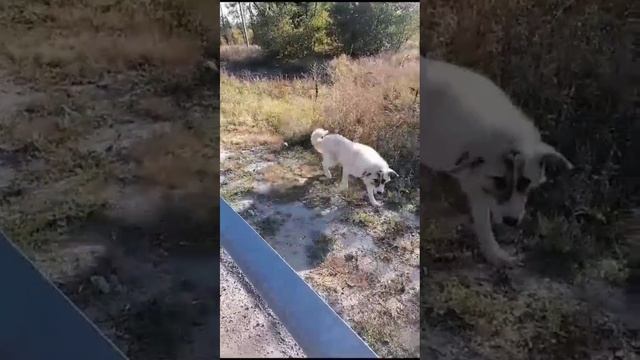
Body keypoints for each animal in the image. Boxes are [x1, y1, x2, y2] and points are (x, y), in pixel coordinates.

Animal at [420, 58, 576, 268]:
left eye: (525, 182)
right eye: (499, 181)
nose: (511, 221)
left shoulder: (476, 183)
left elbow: (483, 221)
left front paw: (494, 254)